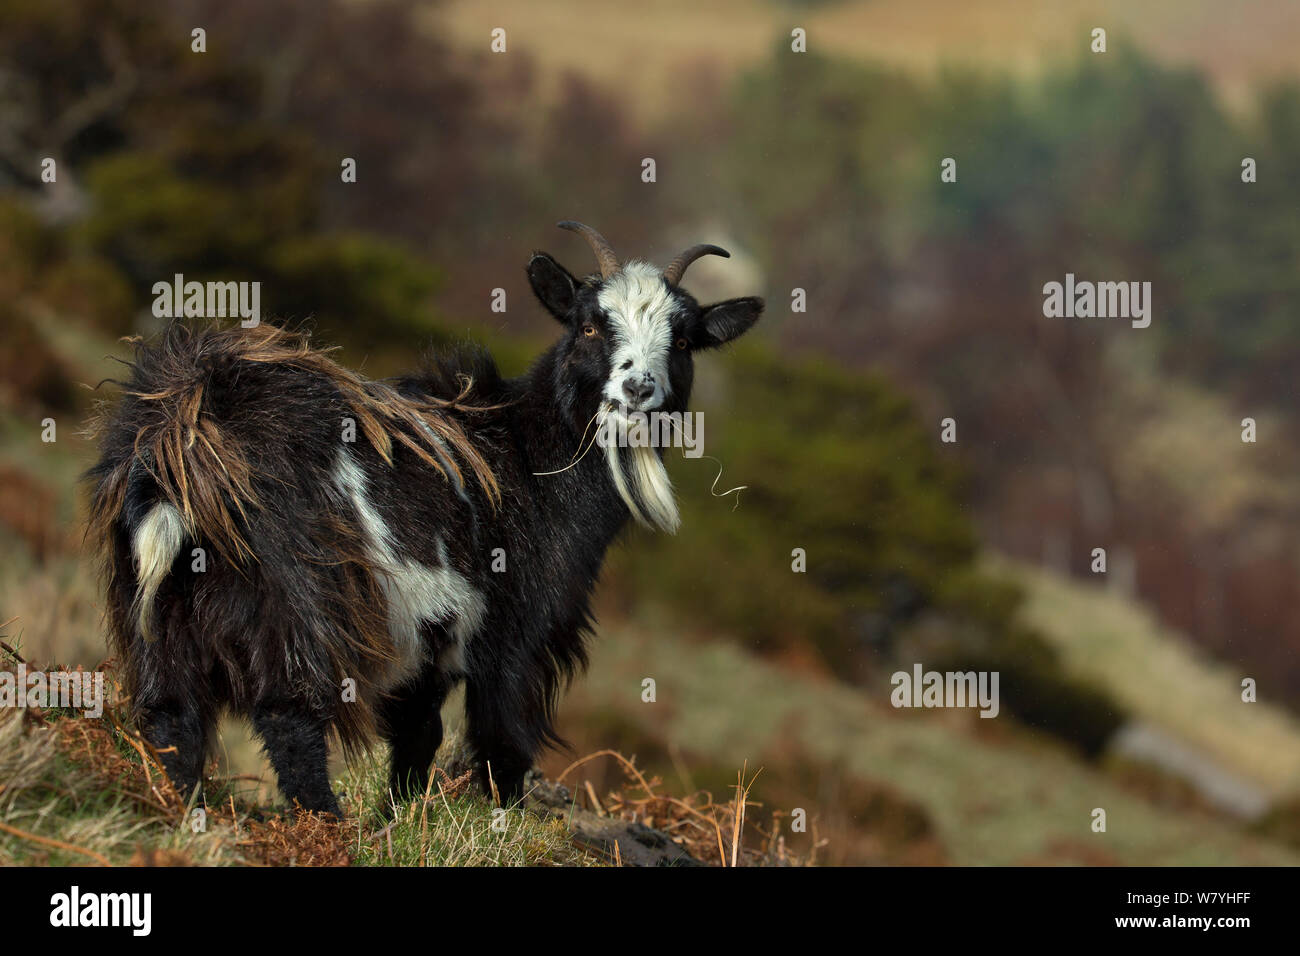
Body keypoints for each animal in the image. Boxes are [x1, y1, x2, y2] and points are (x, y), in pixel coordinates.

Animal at [89, 223, 759, 816]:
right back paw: (326, 827)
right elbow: (501, 742)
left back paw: (185, 808)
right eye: (591, 324)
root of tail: (182, 439)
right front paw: (503, 824)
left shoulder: (426, 641)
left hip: (158, 610)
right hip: (299, 602)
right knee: (289, 715)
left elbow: (418, 741)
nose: (638, 389)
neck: (527, 452)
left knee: (171, 716)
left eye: (682, 340)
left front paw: (399, 819)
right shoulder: (514, 636)